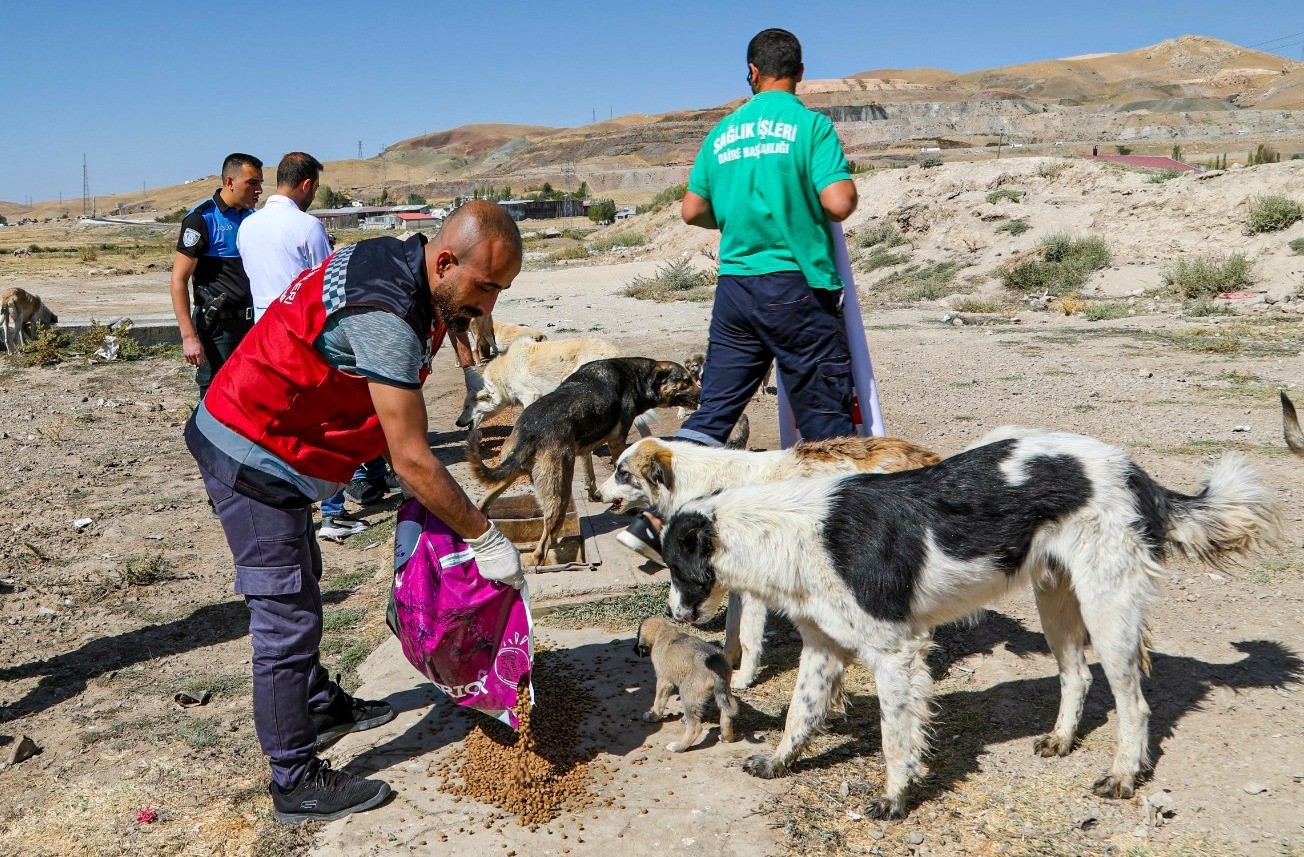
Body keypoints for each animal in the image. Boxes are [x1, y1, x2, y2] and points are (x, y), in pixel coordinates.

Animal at [599, 438, 938, 683]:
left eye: (621, 472)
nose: (596, 493)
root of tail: (923, 457)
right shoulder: (735, 583)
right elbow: (732, 631)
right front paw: (723, 663)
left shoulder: (753, 589)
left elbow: (748, 636)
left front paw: (744, 678)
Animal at [636, 615, 740, 751]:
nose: (635, 650)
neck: (664, 629)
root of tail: (716, 666)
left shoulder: (664, 681)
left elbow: (658, 702)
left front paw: (653, 716)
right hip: (724, 692)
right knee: (726, 717)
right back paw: (726, 738)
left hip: (687, 691)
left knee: (695, 727)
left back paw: (678, 747)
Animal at [662, 425, 1283, 813]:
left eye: (673, 565)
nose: (672, 613)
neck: (787, 529)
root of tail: (1135, 472)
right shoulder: (823, 648)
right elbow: (799, 714)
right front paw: (779, 761)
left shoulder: (895, 653)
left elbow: (894, 736)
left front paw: (895, 798)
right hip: (1057, 601)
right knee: (1076, 676)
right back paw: (1061, 739)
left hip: (1109, 611)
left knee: (1135, 705)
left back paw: (1124, 775)